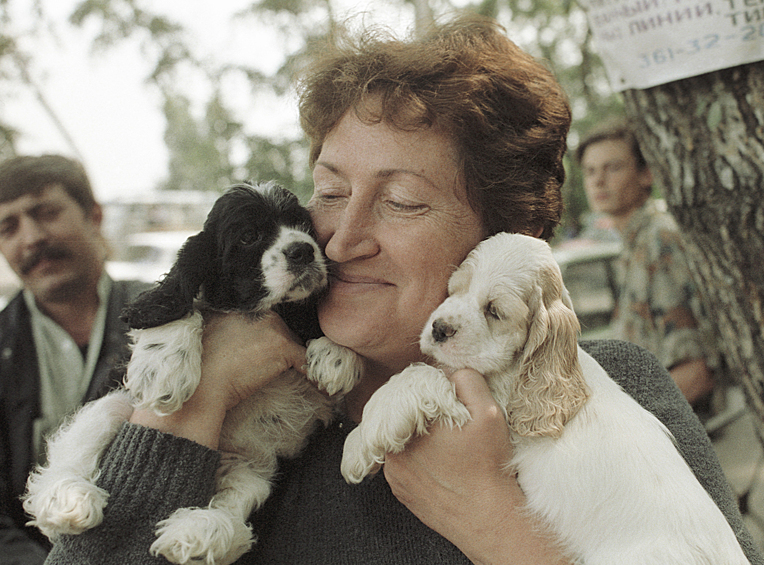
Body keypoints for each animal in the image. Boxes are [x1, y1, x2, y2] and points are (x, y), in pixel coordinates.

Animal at [20, 182, 362, 564]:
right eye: (249, 236)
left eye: (304, 226)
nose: (303, 250)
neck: (268, 310)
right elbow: (184, 304)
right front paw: (165, 368)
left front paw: (336, 355)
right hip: (115, 404)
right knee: (72, 452)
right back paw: (71, 499)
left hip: (249, 462)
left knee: (238, 499)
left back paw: (196, 532)